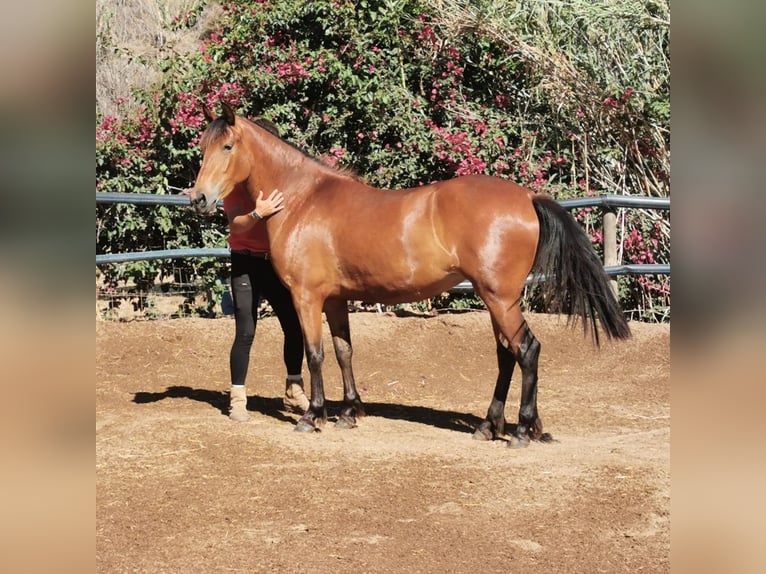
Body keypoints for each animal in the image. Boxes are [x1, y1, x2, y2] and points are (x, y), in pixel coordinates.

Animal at [189, 101, 632, 448]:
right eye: (203, 147)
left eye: (227, 146)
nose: (198, 198)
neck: (302, 198)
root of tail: (526, 195)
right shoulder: (335, 299)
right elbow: (344, 350)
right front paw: (350, 411)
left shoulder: (307, 297)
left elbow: (315, 354)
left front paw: (313, 416)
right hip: (498, 299)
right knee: (507, 354)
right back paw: (492, 426)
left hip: (500, 298)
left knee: (527, 350)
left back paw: (522, 431)